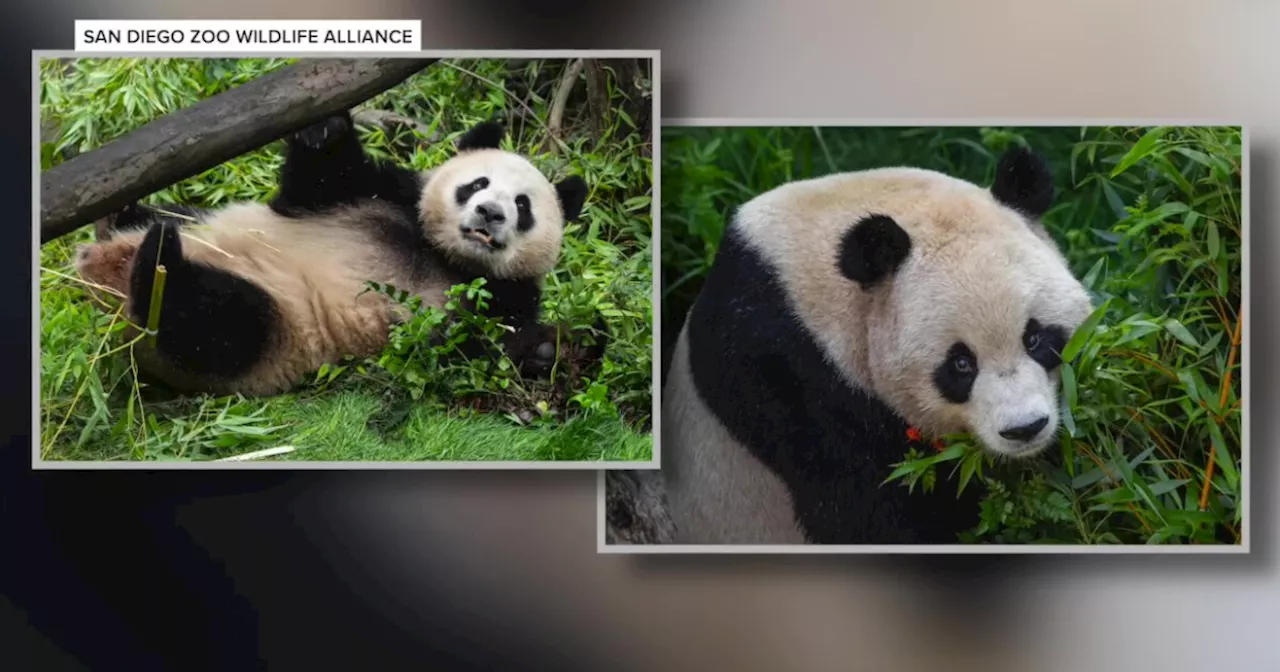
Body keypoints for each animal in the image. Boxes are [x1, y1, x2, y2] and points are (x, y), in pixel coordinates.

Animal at [73, 110, 599, 399]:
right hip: (200, 224)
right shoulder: (381, 195)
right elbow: (318, 181)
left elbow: (469, 353)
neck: (445, 255)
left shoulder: (502, 297)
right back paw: (125, 219)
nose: (490, 213)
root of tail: (104, 278)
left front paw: (557, 346)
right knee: (171, 225)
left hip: (275, 332)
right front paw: (324, 128)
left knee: (213, 322)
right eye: (477, 183)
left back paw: (157, 266)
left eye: (523, 206)